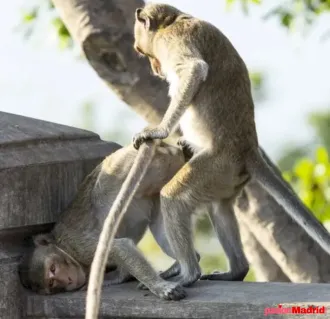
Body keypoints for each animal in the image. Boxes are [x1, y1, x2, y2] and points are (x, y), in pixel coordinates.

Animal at [18, 144, 189, 302]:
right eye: (52, 284)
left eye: (53, 268)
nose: (68, 280)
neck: (65, 249)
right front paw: (118, 276)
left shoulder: (80, 247)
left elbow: (120, 247)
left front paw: (160, 287)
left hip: (130, 165)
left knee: (103, 191)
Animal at [133, 2, 330, 288]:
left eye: (141, 50)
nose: (155, 69)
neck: (174, 20)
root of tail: (249, 148)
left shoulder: (173, 40)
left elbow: (194, 70)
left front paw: (159, 131)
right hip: (227, 175)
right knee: (219, 206)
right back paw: (236, 270)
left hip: (218, 163)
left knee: (174, 199)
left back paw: (188, 274)